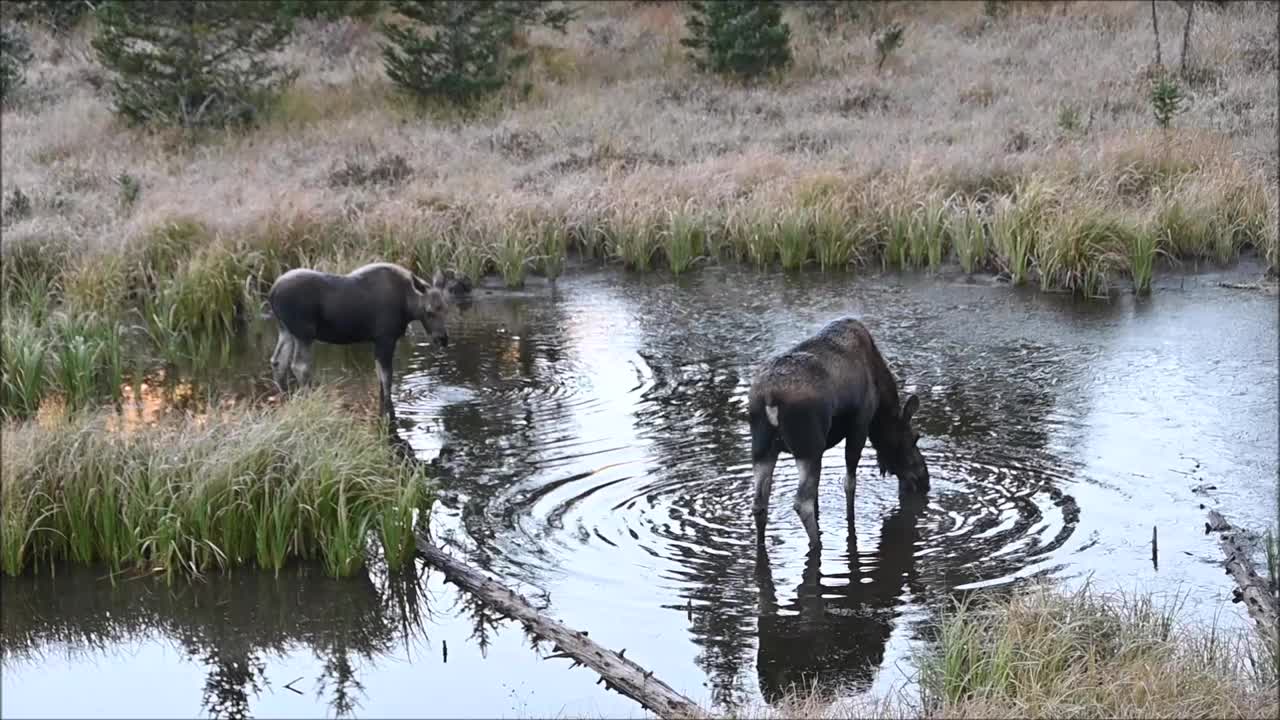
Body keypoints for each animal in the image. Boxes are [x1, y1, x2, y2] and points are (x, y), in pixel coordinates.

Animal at [267, 260, 468, 417]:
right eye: (429, 311)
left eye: (446, 309)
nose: (442, 339)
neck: (407, 307)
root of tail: (271, 293)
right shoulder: (385, 338)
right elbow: (387, 377)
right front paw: (388, 407)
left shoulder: (378, 341)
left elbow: (380, 376)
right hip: (304, 333)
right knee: (299, 365)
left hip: (285, 330)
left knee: (278, 361)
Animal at [742, 315, 931, 548]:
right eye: (915, 438)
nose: (925, 479)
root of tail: (770, 398)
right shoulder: (860, 425)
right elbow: (849, 483)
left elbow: (818, 493)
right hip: (808, 446)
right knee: (801, 503)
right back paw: (816, 544)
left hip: (762, 448)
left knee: (759, 503)